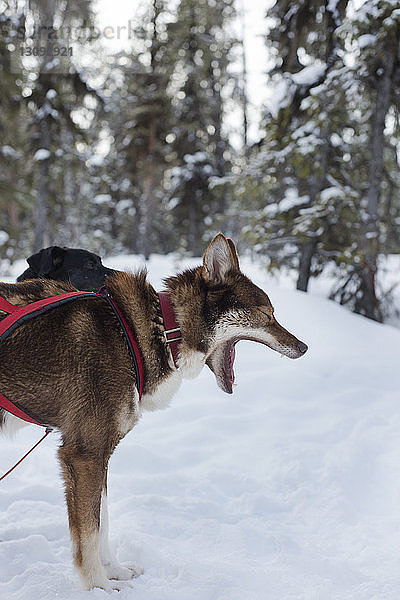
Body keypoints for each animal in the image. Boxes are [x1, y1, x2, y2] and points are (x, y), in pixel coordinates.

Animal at [0, 234, 308, 592]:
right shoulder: (84, 453)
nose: (303, 347)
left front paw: (114, 571)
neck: (152, 332)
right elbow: (89, 532)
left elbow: (103, 523)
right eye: (266, 314)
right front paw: (100, 587)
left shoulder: (99, 454)